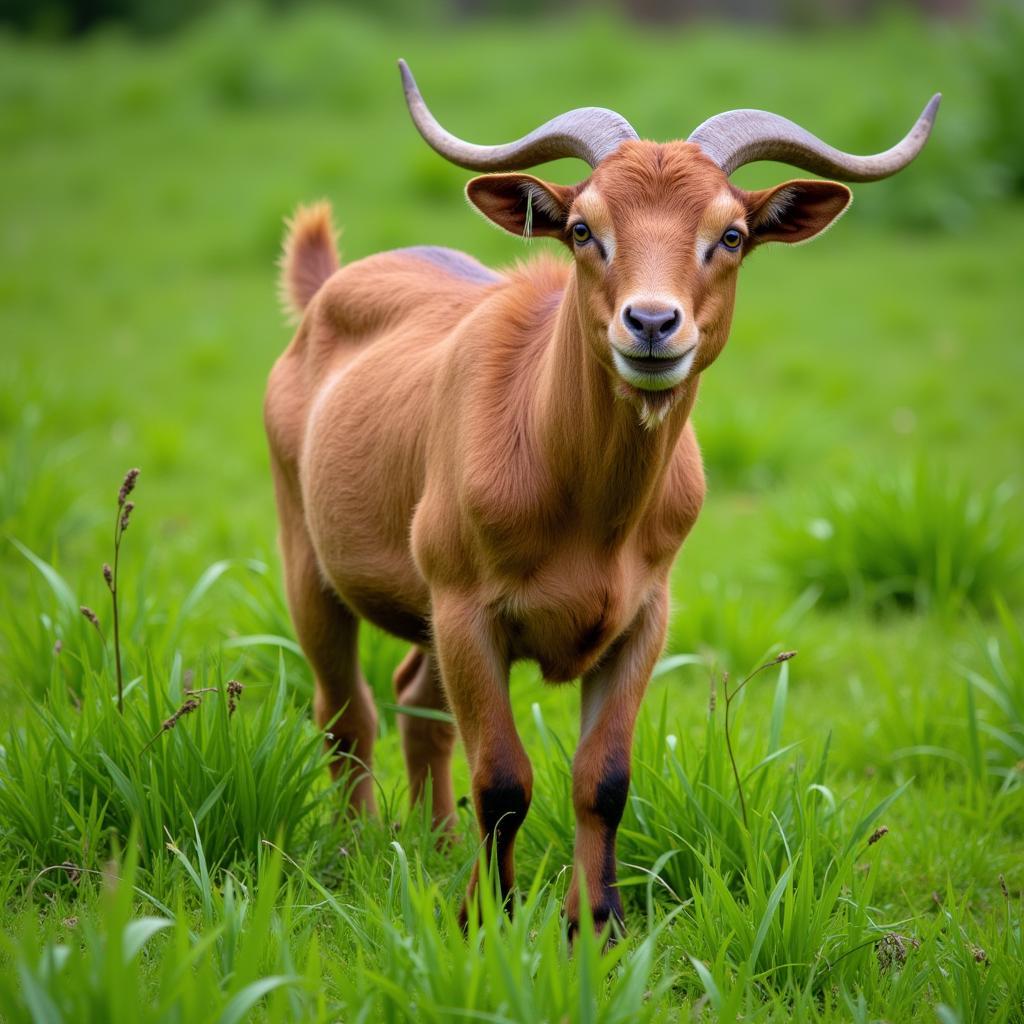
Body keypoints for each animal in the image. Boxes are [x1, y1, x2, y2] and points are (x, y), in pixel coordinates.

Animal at [264, 61, 937, 929]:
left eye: (730, 235)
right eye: (585, 228)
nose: (651, 323)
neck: (582, 500)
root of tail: (325, 291)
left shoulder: (640, 618)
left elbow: (604, 779)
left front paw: (596, 921)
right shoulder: (467, 611)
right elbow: (503, 778)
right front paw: (485, 917)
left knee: (416, 702)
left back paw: (437, 841)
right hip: (310, 564)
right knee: (347, 711)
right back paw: (357, 844)